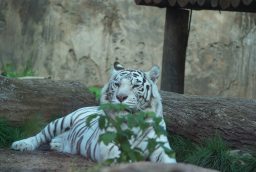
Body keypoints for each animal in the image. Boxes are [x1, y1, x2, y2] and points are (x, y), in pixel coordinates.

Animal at [11, 61, 176, 163]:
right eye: (117, 84)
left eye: (135, 86)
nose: (120, 97)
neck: (132, 121)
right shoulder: (108, 143)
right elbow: (118, 155)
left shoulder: (160, 146)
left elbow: (169, 160)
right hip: (61, 121)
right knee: (39, 136)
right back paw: (22, 144)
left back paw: (57, 144)